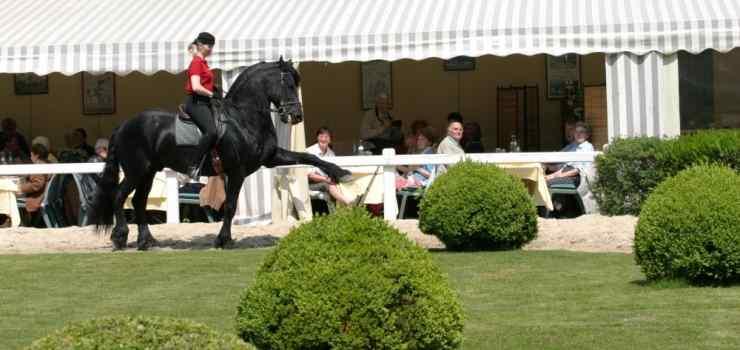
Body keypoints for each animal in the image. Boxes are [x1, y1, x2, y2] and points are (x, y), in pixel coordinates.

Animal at [89, 58, 350, 250]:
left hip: (149, 172)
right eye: (287, 83)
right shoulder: (237, 171)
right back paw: (120, 237)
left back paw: (146, 241)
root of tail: (124, 125)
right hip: (137, 170)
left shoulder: (270, 158)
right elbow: (231, 206)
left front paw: (341, 172)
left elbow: (310, 157)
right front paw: (223, 240)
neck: (244, 118)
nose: (296, 116)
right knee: (120, 196)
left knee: (138, 201)